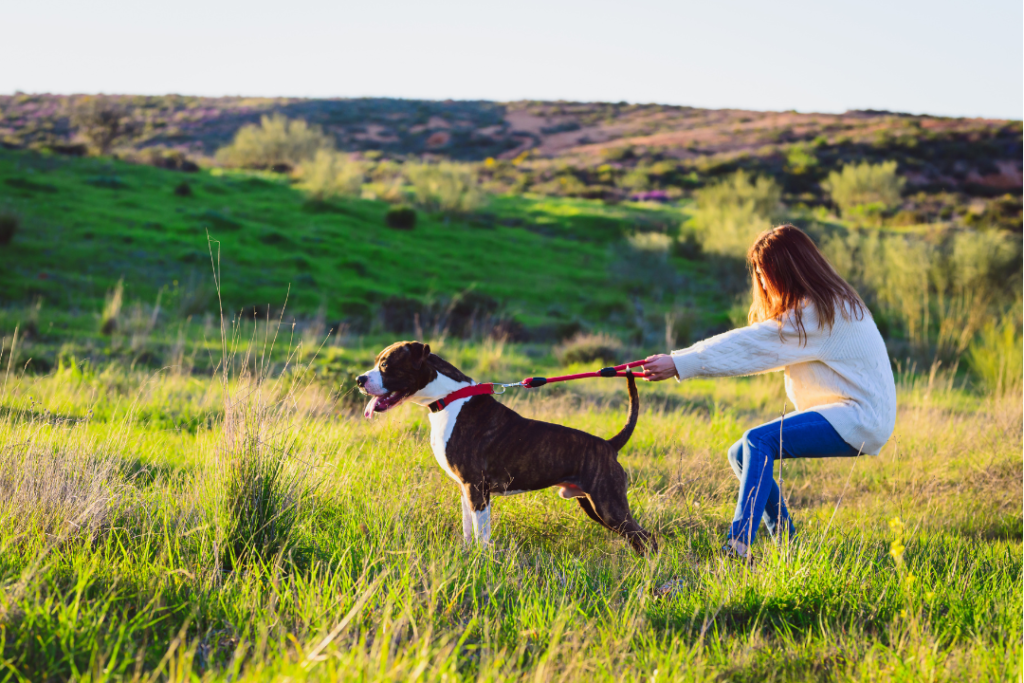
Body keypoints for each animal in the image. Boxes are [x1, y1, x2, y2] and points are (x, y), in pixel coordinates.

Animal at [352, 342, 655, 557]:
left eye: (386, 364)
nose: (359, 380)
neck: (449, 398)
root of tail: (609, 444)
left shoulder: (477, 487)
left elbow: (482, 534)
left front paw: (482, 562)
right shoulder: (465, 490)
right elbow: (468, 531)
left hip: (608, 505)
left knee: (646, 538)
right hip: (593, 504)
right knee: (637, 539)